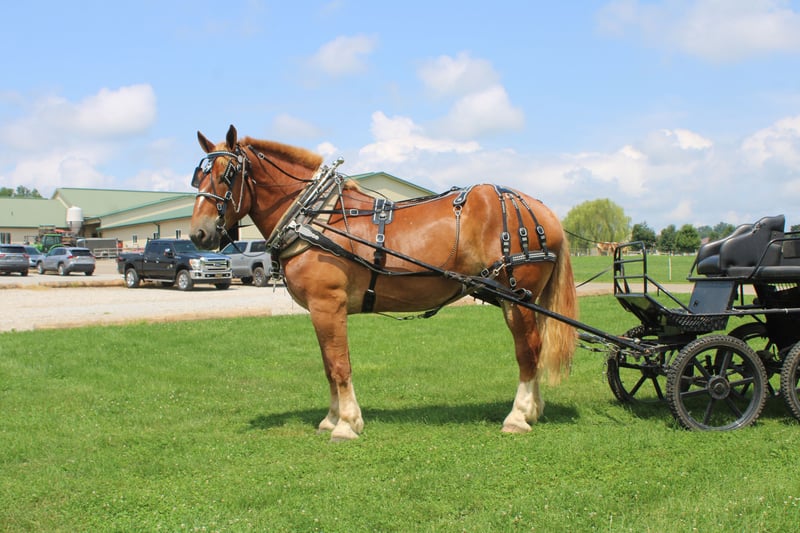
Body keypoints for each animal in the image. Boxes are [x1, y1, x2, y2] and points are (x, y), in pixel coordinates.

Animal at [189, 125, 577, 441]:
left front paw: (347, 424)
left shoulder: (328, 304)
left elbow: (339, 364)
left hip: (516, 298)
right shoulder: (320, 310)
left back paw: (518, 416)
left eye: (227, 175)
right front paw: (331, 419)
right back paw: (533, 410)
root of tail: (540, 210)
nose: (199, 233)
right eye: (198, 177)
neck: (314, 218)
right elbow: (328, 366)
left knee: (528, 351)